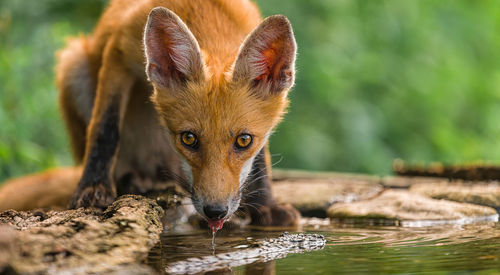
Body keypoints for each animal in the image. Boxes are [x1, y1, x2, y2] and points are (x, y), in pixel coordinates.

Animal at [51, 0, 300, 230]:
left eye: (244, 140)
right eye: (188, 138)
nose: (215, 212)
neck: (203, 10)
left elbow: (260, 160)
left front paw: (266, 205)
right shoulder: (118, 53)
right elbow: (105, 128)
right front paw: (94, 187)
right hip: (74, 65)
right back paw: (131, 182)